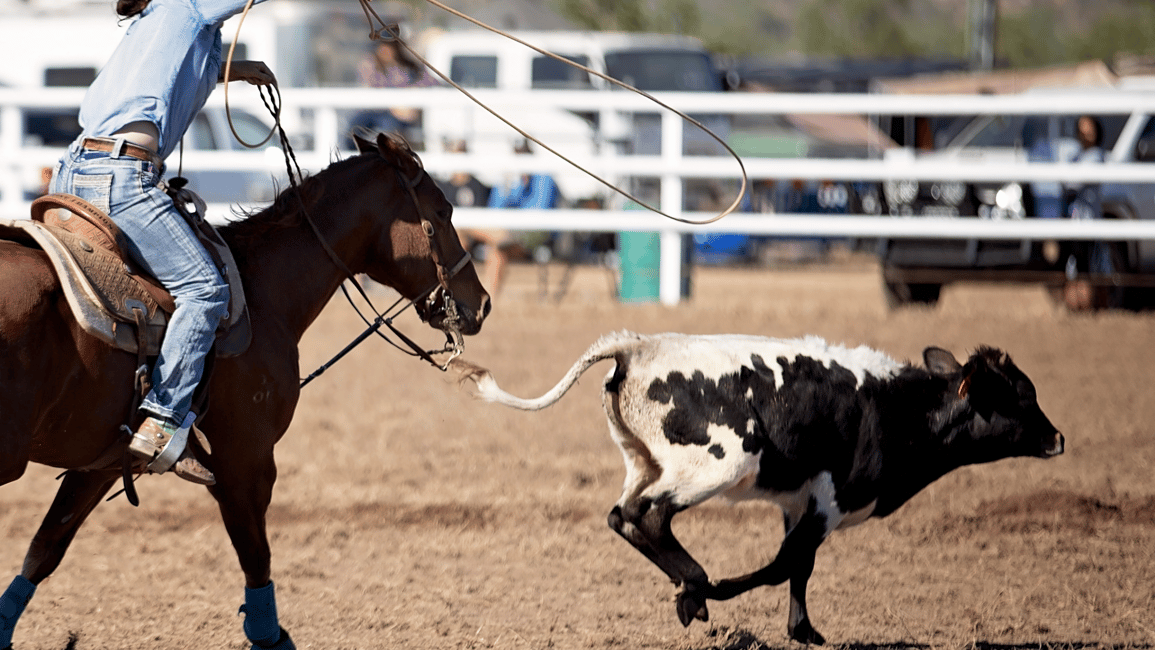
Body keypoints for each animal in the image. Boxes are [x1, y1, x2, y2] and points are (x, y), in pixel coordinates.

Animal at [454, 331, 1064, 645]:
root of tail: (640, 345)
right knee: (648, 516)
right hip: (717, 465)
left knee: (622, 515)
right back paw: (695, 588)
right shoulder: (828, 501)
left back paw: (689, 584)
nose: (1058, 438)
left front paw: (804, 629)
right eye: (1020, 397)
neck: (892, 408)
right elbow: (781, 565)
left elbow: (799, 568)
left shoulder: (800, 501)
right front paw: (715, 594)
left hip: (644, 462)